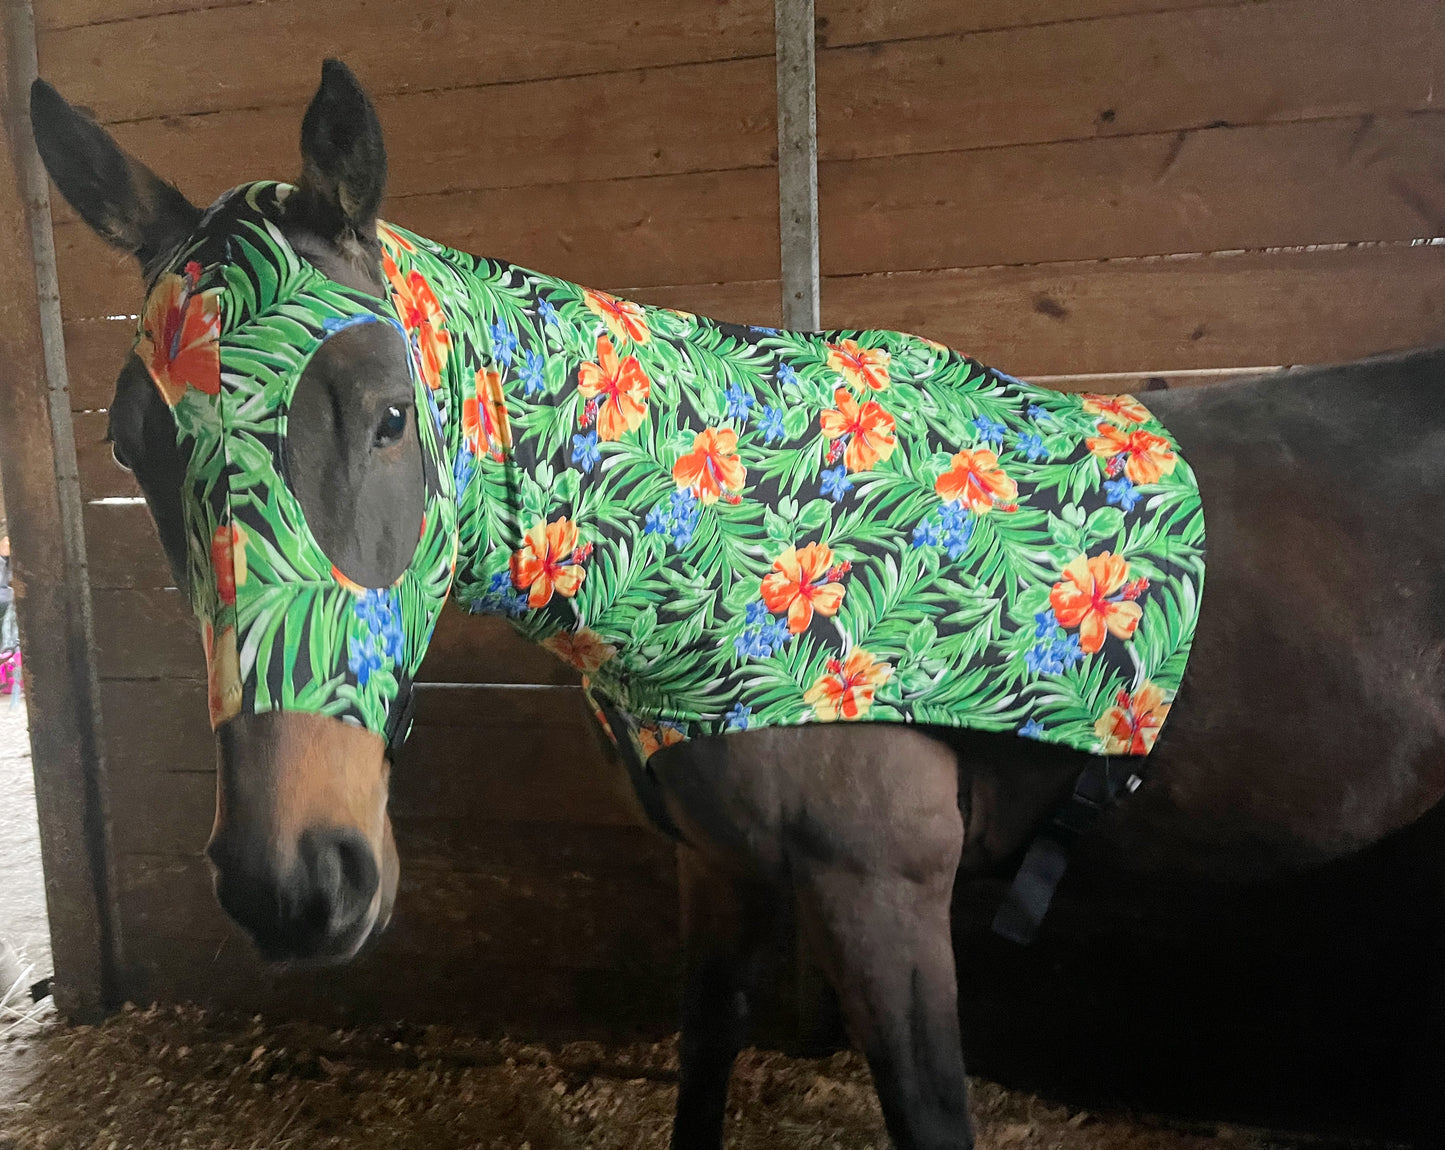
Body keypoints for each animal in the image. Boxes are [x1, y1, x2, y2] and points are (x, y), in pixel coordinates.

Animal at [26, 61, 1445, 1150]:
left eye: (386, 416)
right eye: (129, 445)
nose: (292, 880)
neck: (732, 528)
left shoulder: (885, 891)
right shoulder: (716, 870)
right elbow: (703, 1060)